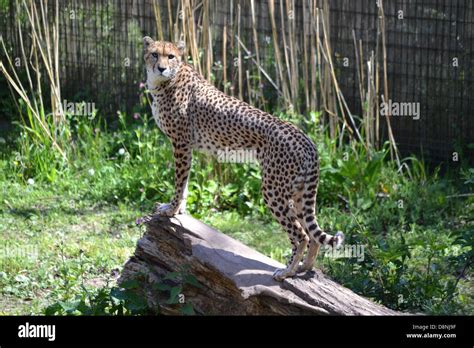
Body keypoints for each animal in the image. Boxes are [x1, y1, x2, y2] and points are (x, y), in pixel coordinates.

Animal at [143, 37, 342, 282]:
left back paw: (286, 271)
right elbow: (186, 182)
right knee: (312, 234)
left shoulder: (180, 143)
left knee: (301, 234)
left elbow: (179, 181)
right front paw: (179, 209)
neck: (165, 80)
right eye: (154, 54)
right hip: (299, 192)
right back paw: (304, 268)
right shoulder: (186, 146)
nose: (161, 67)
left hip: (273, 190)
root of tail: (307, 139)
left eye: (170, 56)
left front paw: (171, 209)